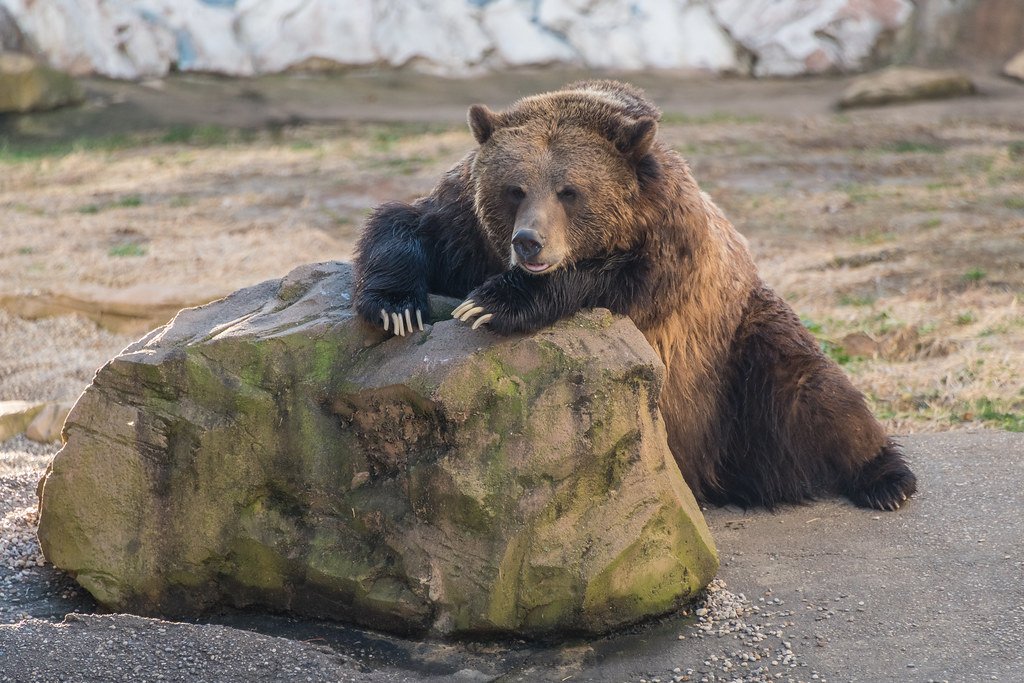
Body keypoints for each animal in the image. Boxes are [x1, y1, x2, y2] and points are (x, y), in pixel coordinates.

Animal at [353, 80, 917, 511]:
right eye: (514, 189)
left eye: (569, 191)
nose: (529, 241)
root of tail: (708, 473)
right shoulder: (465, 229)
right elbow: (404, 223)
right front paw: (396, 307)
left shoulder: (665, 257)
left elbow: (602, 281)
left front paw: (494, 302)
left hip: (736, 351)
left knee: (811, 390)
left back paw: (887, 479)